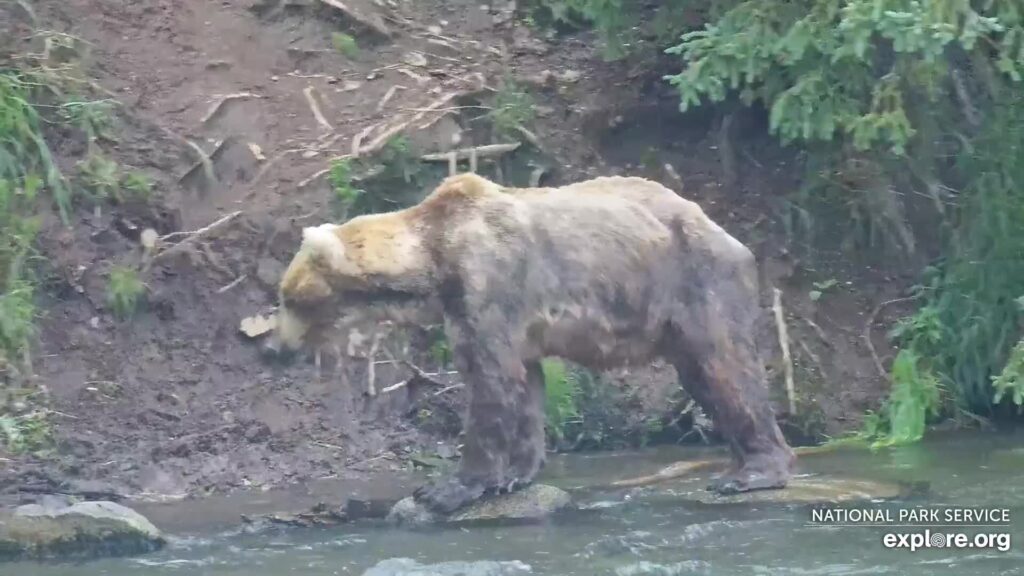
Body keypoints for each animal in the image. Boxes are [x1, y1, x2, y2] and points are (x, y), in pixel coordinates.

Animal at [260, 170, 794, 510]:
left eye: (289, 297)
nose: (271, 348)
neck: (435, 261)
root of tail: (729, 234)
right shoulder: (478, 312)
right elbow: (525, 385)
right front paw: (515, 473)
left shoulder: (491, 286)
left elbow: (491, 381)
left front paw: (447, 488)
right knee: (706, 379)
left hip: (695, 283)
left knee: (726, 369)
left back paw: (754, 471)